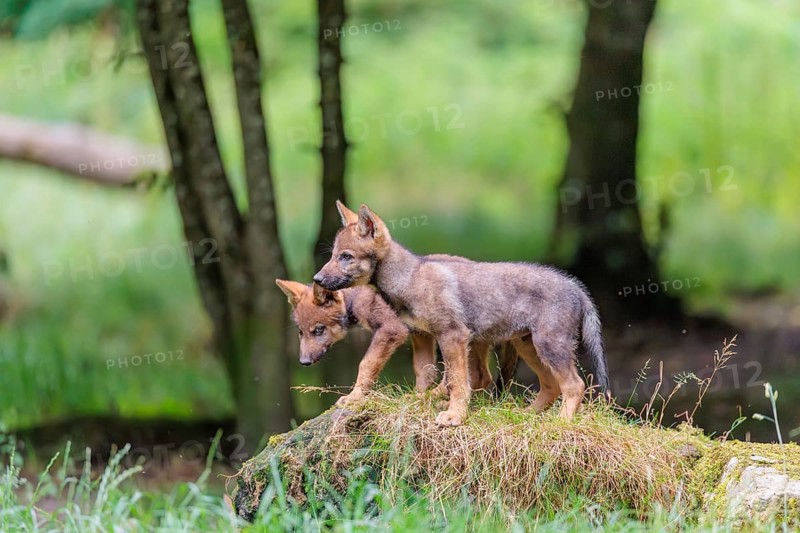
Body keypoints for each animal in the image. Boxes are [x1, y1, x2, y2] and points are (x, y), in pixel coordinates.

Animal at [275, 280, 516, 407]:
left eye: (319, 330)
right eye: (300, 332)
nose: (304, 362)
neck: (357, 299)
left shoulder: (392, 330)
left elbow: (365, 365)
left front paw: (354, 397)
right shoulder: (420, 335)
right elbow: (424, 370)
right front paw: (417, 395)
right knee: (481, 376)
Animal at [314, 201, 609, 426]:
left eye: (346, 257)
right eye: (333, 255)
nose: (317, 279)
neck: (409, 279)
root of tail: (576, 286)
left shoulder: (453, 336)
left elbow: (456, 382)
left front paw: (454, 416)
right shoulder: (427, 337)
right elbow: (430, 376)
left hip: (548, 346)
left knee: (574, 385)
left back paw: (562, 423)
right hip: (528, 347)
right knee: (551, 386)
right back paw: (527, 417)